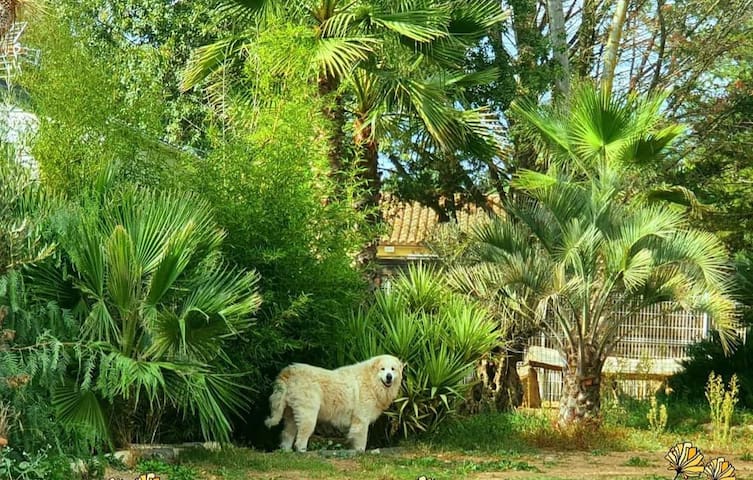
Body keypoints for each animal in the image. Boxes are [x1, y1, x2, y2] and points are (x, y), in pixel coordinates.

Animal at [266, 354, 402, 452]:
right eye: (382, 369)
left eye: (393, 369)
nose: (389, 376)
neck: (371, 381)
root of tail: (289, 371)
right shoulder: (361, 420)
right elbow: (361, 441)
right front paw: (360, 452)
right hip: (308, 416)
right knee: (301, 439)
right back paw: (303, 453)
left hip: (292, 416)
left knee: (287, 435)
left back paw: (286, 452)